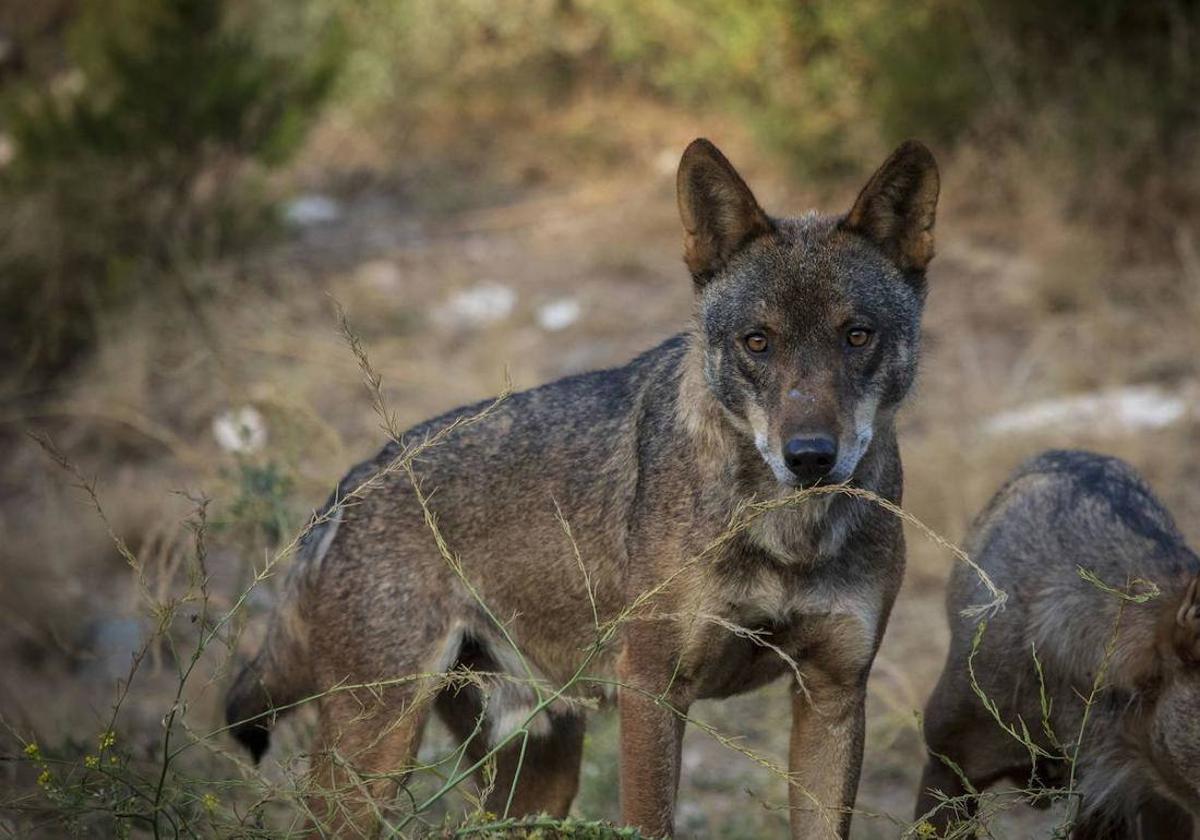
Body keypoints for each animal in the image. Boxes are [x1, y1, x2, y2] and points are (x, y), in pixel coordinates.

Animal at [223, 134, 936, 835]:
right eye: (757, 342)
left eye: (857, 336)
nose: (810, 457)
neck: (791, 537)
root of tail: (351, 483)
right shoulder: (652, 688)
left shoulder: (834, 695)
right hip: (378, 758)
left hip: (535, 772)